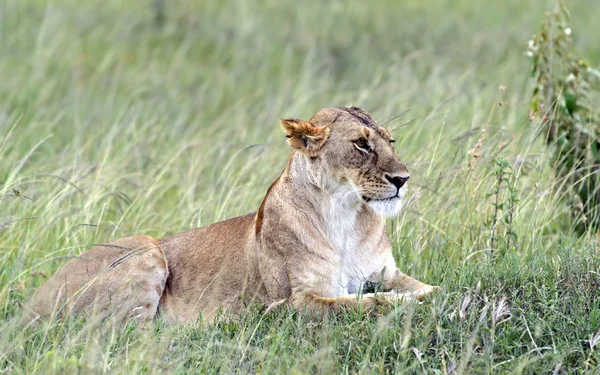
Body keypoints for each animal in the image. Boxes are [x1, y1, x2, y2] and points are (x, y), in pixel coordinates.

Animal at [21, 106, 438, 326]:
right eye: (361, 144)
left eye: (390, 141)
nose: (403, 179)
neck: (346, 215)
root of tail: (31, 305)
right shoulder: (306, 296)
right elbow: (361, 303)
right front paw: (400, 303)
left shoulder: (386, 272)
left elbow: (427, 288)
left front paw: (425, 293)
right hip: (145, 248)